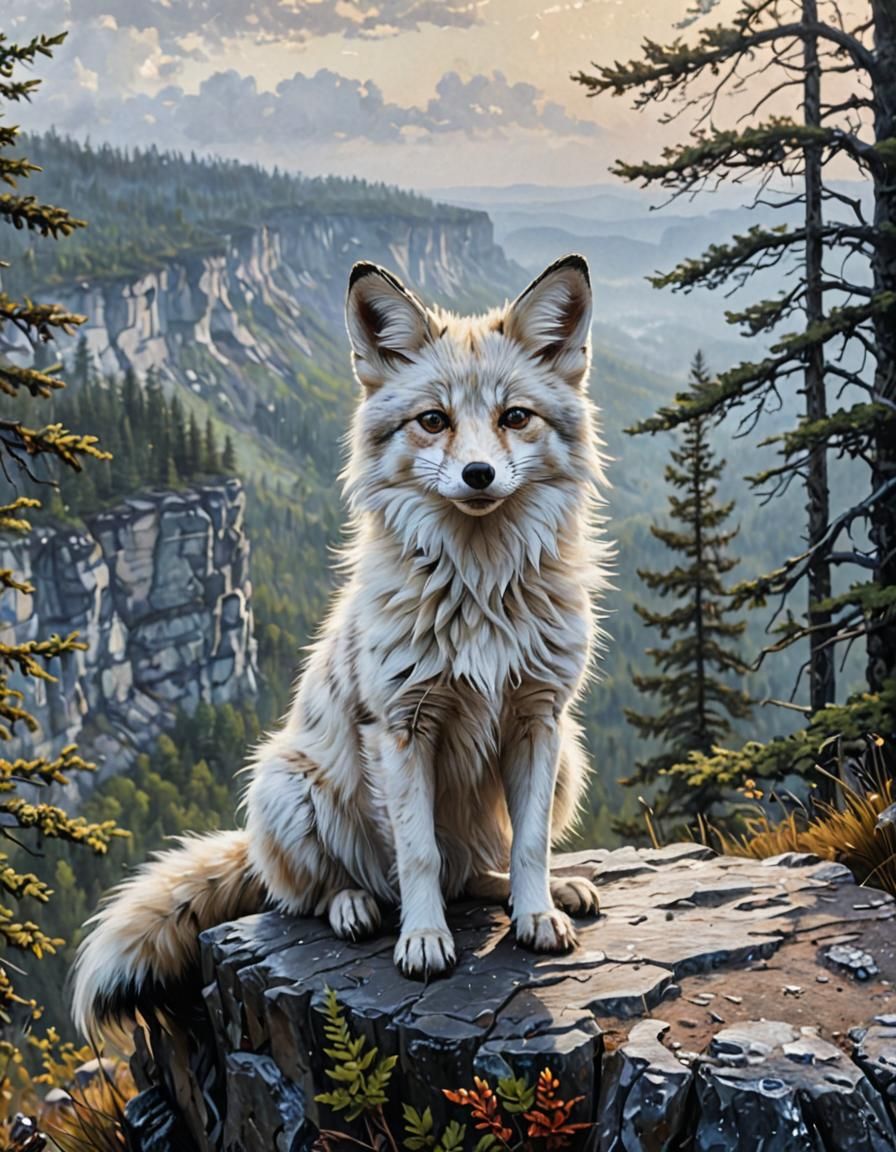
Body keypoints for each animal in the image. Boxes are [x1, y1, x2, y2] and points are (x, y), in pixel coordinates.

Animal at [71, 252, 611, 1042]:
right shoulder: (400, 726)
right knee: (316, 891)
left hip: (571, 755)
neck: (480, 591)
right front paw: (424, 939)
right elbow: (415, 855)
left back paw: (534, 893)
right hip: (285, 783)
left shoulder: (540, 720)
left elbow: (531, 842)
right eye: (432, 420)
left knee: (474, 870)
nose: (478, 475)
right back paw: (356, 908)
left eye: (515, 417)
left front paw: (536, 912)